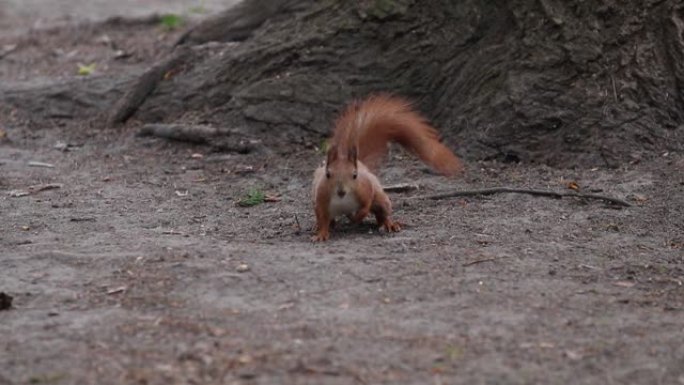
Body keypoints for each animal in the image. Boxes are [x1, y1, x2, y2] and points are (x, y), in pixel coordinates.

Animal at [312, 93, 464, 242]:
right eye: (328, 174)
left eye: (355, 175)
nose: (341, 191)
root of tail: (361, 163)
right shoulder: (322, 199)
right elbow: (323, 218)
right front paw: (321, 233)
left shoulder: (365, 189)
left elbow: (366, 204)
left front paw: (359, 216)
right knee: (329, 219)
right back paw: (325, 225)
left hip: (381, 199)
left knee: (382, 212)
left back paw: (388, 224)